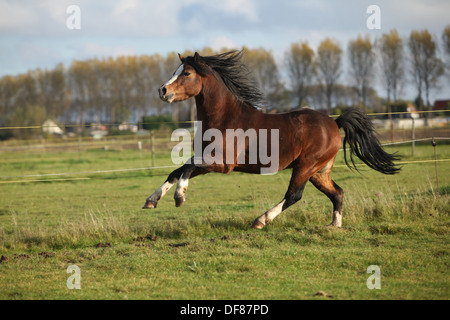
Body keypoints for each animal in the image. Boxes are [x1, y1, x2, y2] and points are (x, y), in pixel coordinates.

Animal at [142, 50, 400, 228]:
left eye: (186, 73)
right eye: (175, 72)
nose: (162, 91)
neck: (225, 118)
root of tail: (334, 123)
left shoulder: (223, 164)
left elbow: (186, 168)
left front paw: (179, 198)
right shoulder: (208, 159)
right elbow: (177, 170)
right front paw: (151, 200)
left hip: (306, 166)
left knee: (294, 195)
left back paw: (261, 220)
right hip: (319, 171)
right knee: (337, 192)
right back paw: (334, 226)